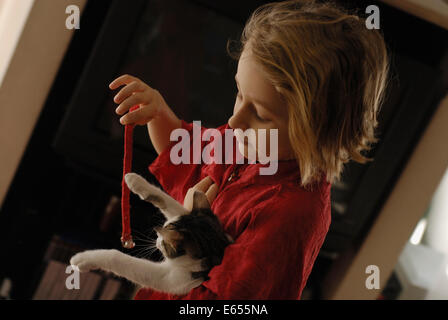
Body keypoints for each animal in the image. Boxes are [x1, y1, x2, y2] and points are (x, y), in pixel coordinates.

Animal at [70, 172, 233, 296]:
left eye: (164, 241)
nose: (157, 240)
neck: (214, 248)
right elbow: (169, 203)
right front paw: (134, 180)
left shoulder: (174, 278)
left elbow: (119, 258)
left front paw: (83, 259)